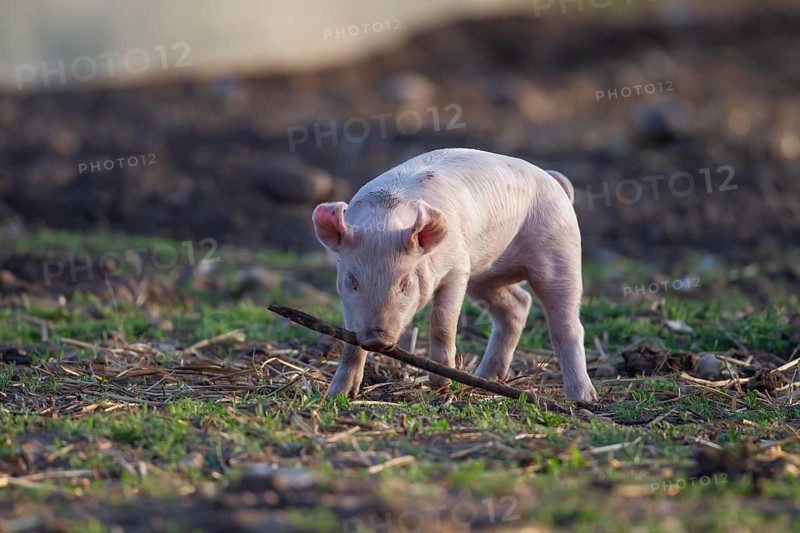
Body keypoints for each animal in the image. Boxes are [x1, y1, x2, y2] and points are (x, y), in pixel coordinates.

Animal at [312, 148, 597, 402]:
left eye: (405, 283)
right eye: (352, 281)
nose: (376, 339)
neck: (385, 220)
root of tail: (553, 180)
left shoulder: (458, 268)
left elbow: (443, 325)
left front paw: (442, 386)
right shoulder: (349, 302)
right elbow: (350, 342)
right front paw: (337, 395)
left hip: (561, 251)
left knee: (568, 325)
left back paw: (583, 399)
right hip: (485, 278)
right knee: (518, 304)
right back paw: (485, 378)